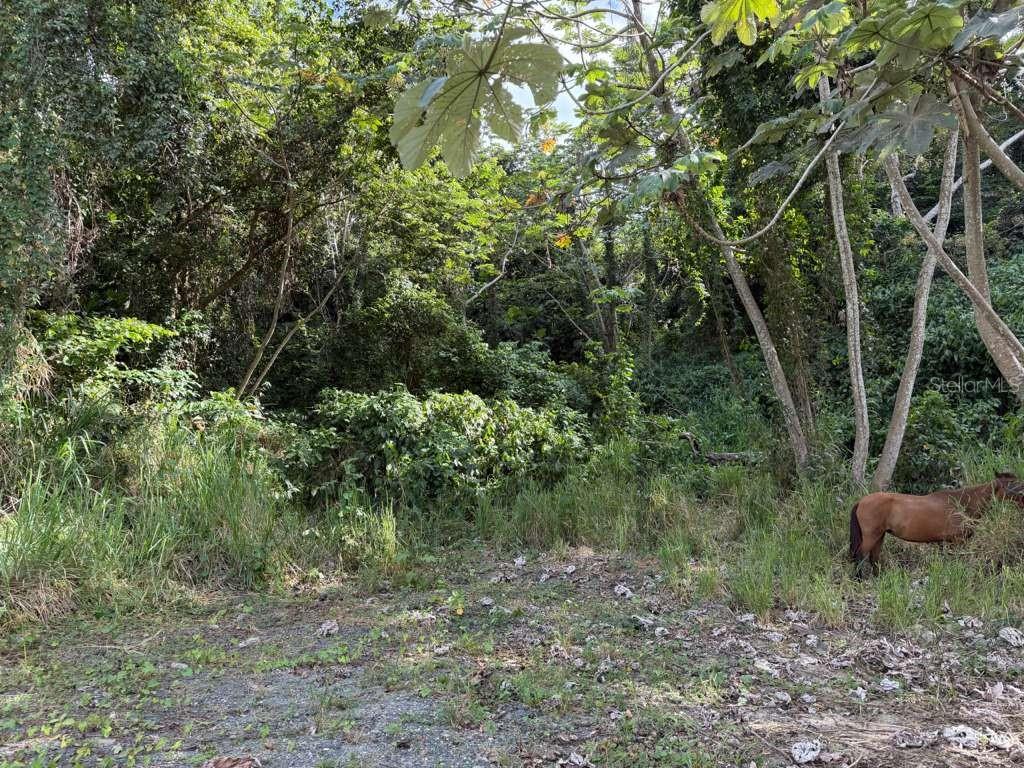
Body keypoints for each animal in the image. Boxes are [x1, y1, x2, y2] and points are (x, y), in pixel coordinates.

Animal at [849, 472, 1024, 576]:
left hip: (880, 535)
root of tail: (861, 501)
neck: (963, 504)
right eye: (1014, 485)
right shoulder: (958, 541)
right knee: (860, 555)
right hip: (871, 535)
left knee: (874, 557)